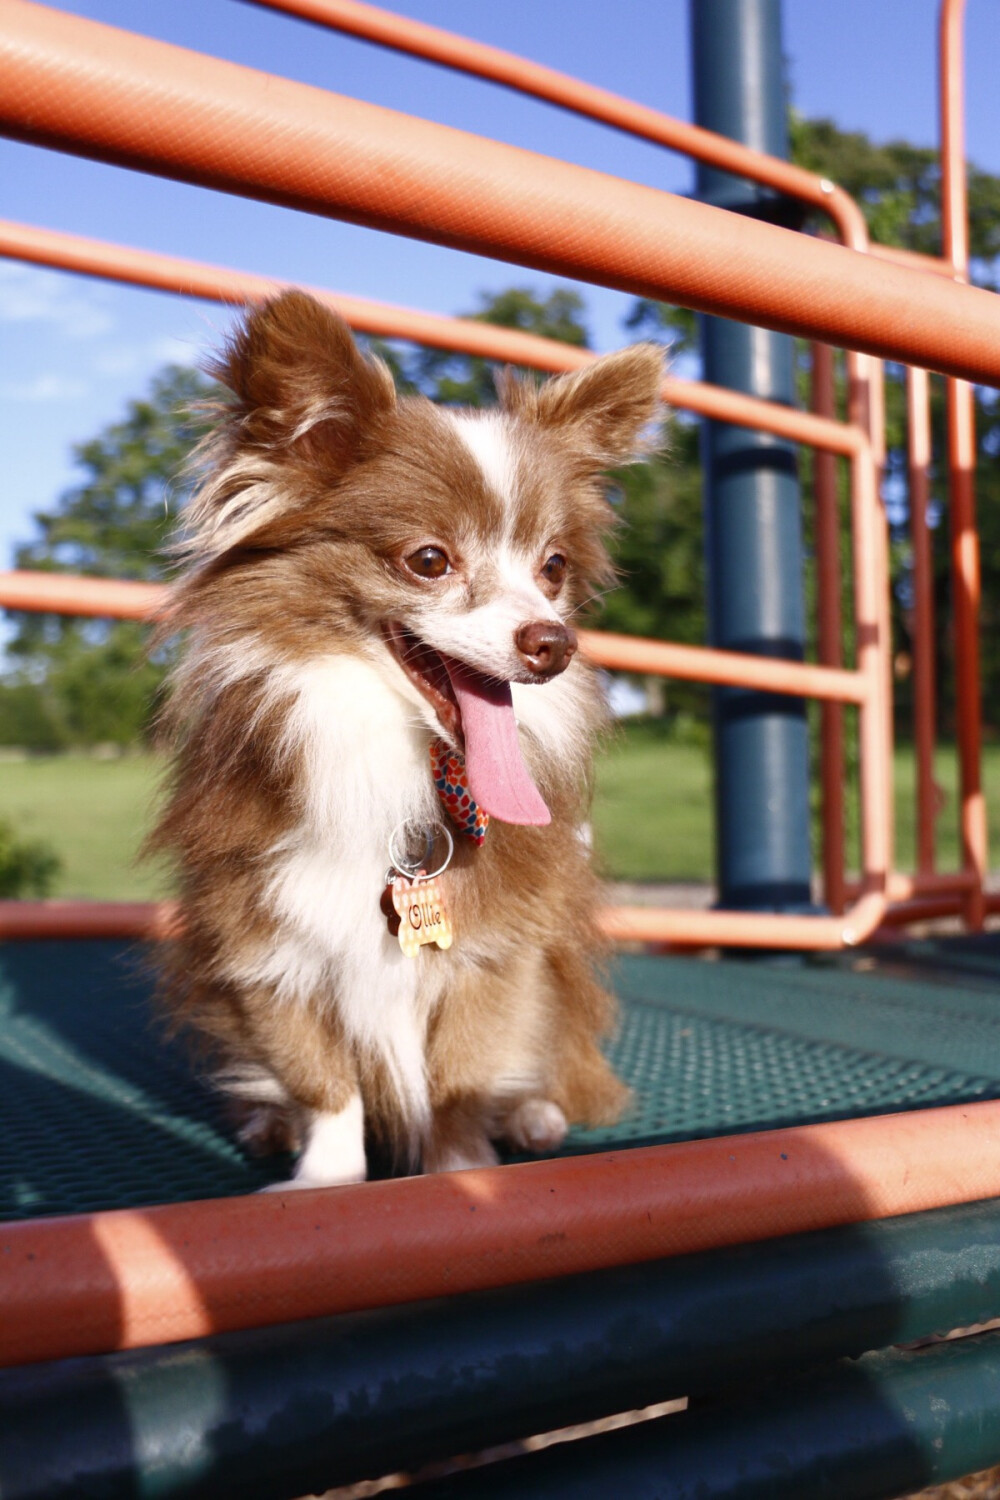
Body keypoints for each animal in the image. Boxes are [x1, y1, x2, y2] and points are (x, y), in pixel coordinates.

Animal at [152, 289, 659, 1182]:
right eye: (428, 560)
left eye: (554, 568)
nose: (553, 642)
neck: (394, 755)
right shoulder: (266, 942)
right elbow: (321, 1081)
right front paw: (325, 1179)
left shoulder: (498, 950)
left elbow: (463, 1076)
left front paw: (462, 1173)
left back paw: (533, 1116)